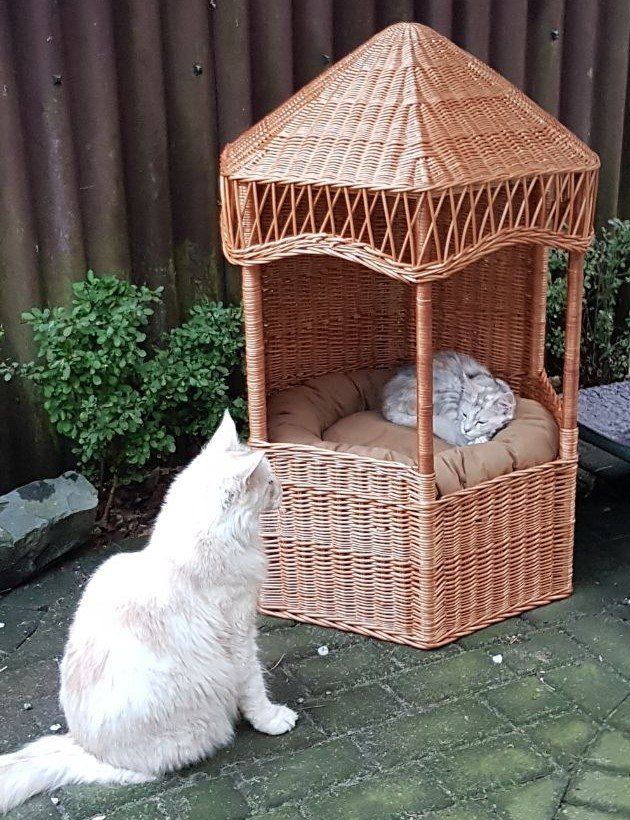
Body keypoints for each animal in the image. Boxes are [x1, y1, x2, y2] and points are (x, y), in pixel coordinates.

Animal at [0, 411, 297, 814]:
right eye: (269, 482)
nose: (281, 490)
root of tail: (85, 747)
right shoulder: (238, 636)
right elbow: (254, 686)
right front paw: (271, 719)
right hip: (198, 722)